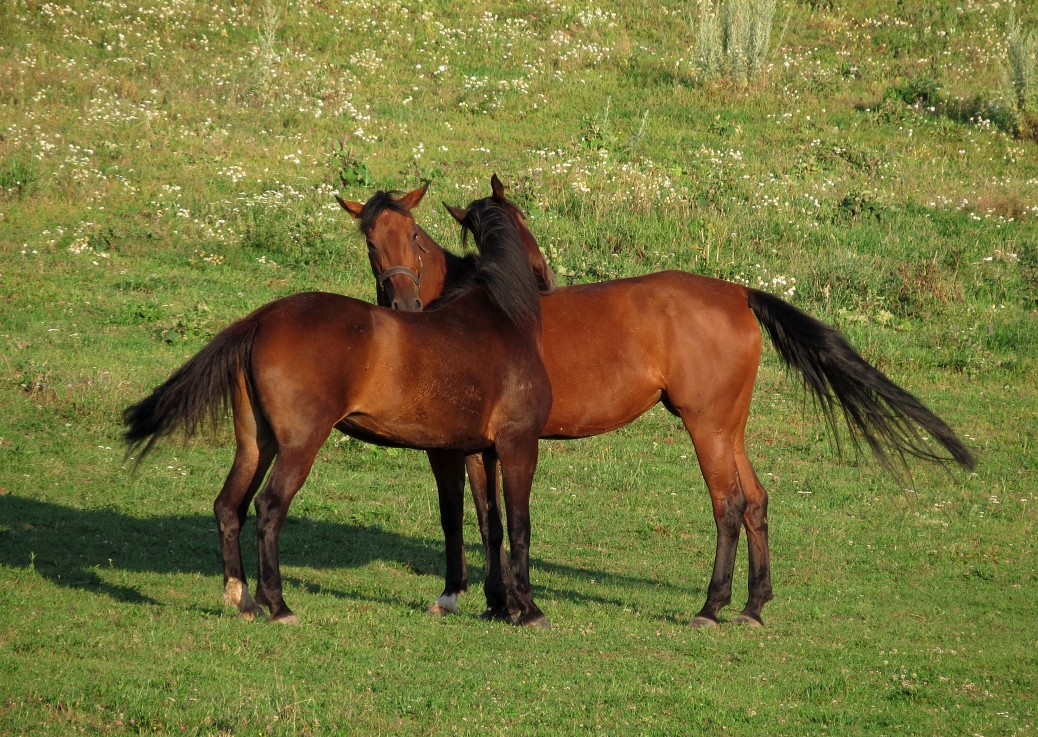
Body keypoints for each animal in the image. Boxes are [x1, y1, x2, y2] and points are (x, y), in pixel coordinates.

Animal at [123, 198, 560, 631]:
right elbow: (519, 525)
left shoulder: (477, 451)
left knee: (229, 507)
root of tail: (261, 318)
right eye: (525, 219)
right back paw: (278, 605)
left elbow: (491, 524)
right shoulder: (518, 445)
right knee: (269, 507)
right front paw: (529, 609)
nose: (547, 276)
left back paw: (244, 600)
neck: (500, 317)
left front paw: (499, 605)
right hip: (299, 445)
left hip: (255, 444)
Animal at [338, 174, 971, 631]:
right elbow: (487, 520)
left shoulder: (459, 449)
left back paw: (711, 608)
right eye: (372, 244)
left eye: (413, 238)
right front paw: (495, 601)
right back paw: (752, 607)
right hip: (728, 428)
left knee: (728, 506)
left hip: (706, 427)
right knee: (756, 501)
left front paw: (478, 598)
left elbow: (472, 517)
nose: (404, 301)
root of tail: (738, 293)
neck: (476, 309)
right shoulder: (482, 448)